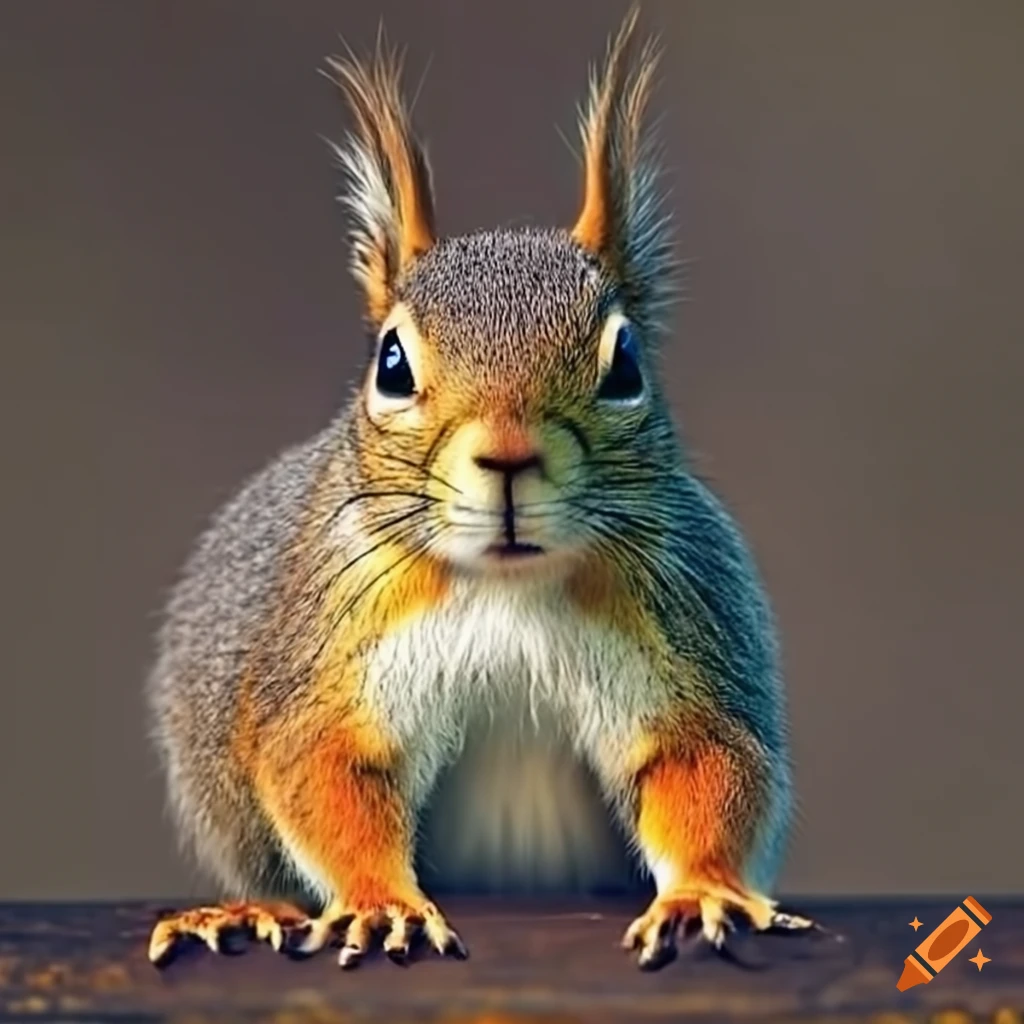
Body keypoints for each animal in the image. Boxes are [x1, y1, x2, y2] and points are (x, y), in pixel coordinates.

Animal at [146, 7, 817, 972]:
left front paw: (700, 893)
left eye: (626, 363)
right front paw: (382, 902)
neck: (508, 587)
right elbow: (324, 769)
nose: (506, 457)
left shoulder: (680, 638)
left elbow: (702, 765)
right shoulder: (335, 657)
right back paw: (241, 911)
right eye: (391, 363)